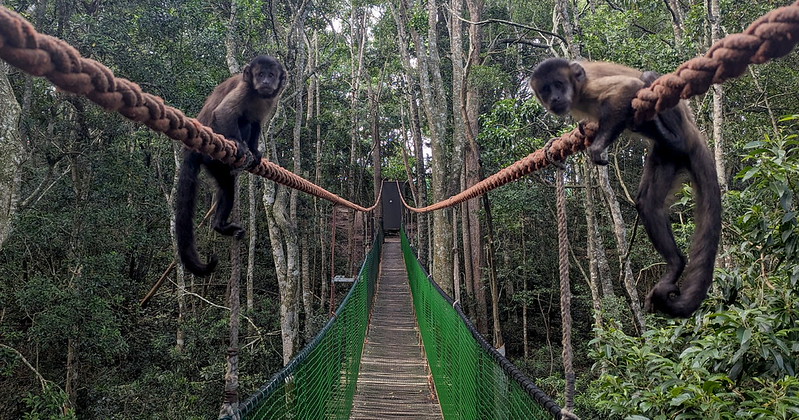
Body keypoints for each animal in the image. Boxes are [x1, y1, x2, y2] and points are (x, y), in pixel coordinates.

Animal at [176, 55, 286, 276]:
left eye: (271, 75)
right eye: (260, 74)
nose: (265, 82)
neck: (257, 94)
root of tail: (192, 150)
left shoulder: (270, 100)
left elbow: (257, 123)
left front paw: (254, 150)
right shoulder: (244, 89)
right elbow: (224, 112)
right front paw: (240, 144)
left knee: (227, 186)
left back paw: (219, 226)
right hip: (211, 156)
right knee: (238, 120)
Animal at [530, 58, 721, 317]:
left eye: (558, 84)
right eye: (545, 90)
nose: (555, 98)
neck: (577, 93)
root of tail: (694, 134)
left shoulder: (589, 88)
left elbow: (628, 88)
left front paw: (597, 146)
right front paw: (561, 141)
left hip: (680, 125)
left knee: (648, 78)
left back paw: (674, 137)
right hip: (666, 156)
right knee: (648, 204)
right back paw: (676, 264)